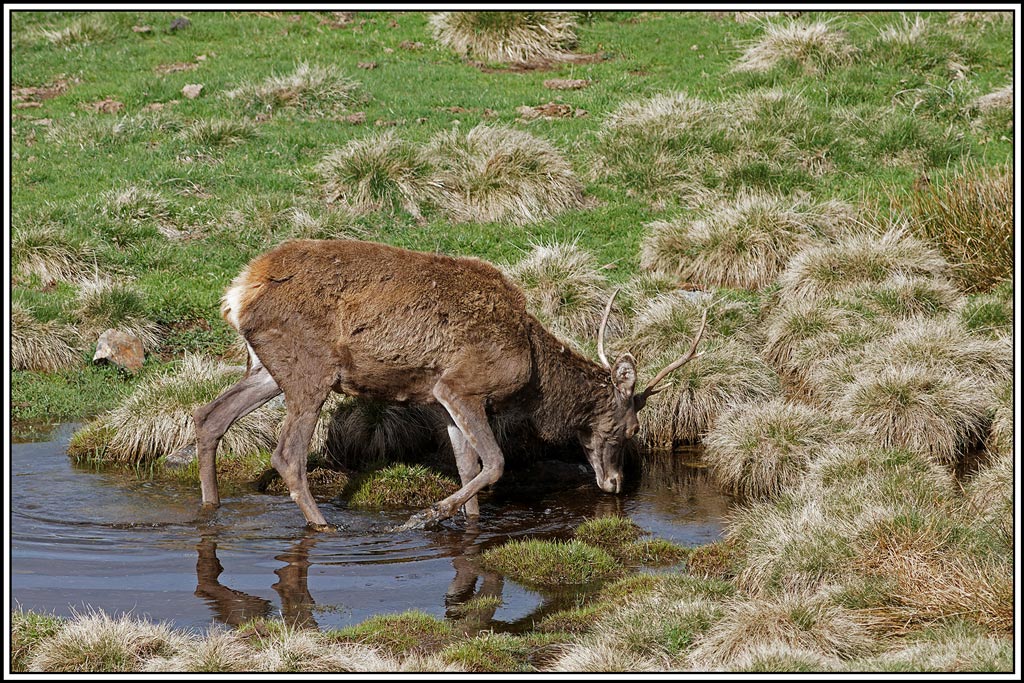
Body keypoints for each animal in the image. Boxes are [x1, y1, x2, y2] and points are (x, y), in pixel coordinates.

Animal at [193, 239, 707, 531]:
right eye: (631, 428)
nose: (616, 484)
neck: (533, 375)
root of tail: (238, 292)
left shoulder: (441, 400)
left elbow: (467, 466)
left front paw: (469, 523)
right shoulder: (463, 387)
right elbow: (495, 463)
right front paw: (424, 516)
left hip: (265, 367)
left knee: (209, 416)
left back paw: (211, 508)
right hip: (309, 368)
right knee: (287, 454)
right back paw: (323, 527)